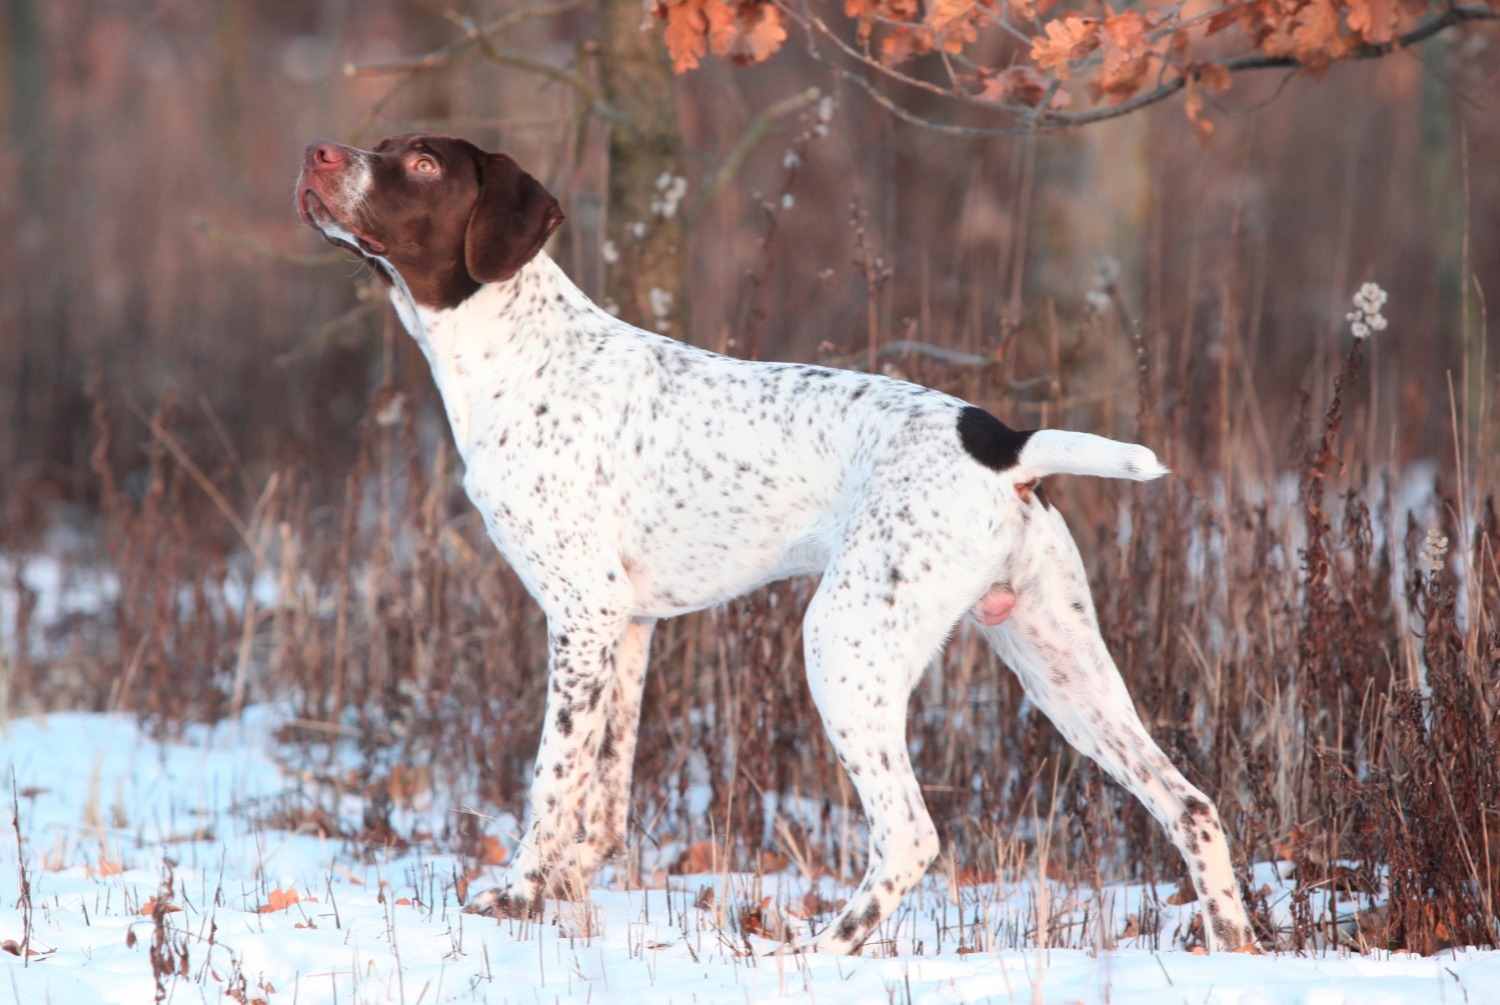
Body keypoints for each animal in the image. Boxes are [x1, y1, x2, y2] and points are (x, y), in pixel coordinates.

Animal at [292, 135, 1254, 960]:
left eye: (422, 163)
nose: (317, 154)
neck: (518, 354)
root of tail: (1003, 442)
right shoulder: (625, 628)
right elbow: (603, 798)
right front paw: (565, 895)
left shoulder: (581, 615)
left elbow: (552, 783)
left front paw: (520, 895)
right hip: (1062, 666)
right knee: (1191, 803)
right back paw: (1236, 946)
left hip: (845, 644)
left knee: (909, 834)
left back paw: (815, 951)